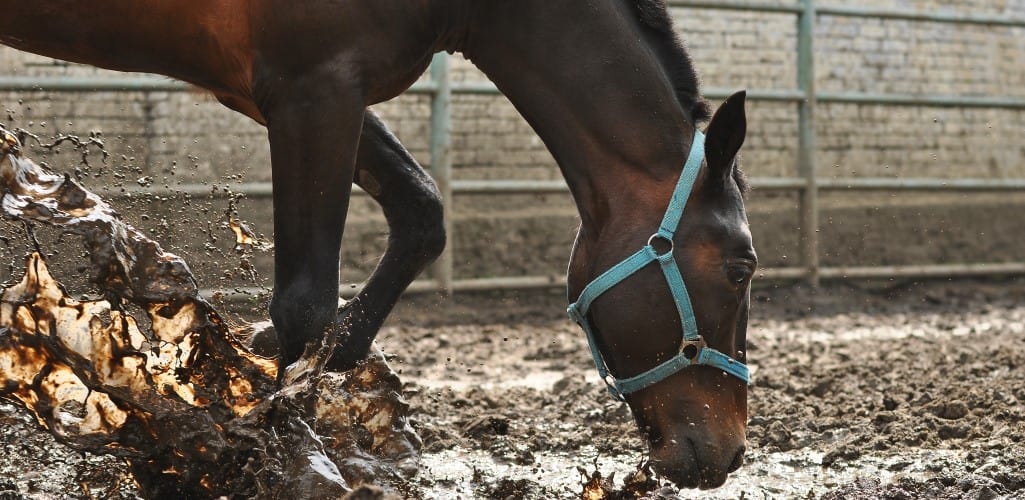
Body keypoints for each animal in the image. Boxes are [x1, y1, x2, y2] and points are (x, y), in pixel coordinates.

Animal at [0, 0, 756, 489]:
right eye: (741, 269)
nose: (727, 451)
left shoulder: (301, 91)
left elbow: (421, 212)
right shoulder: (313, 87)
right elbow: (304, 302)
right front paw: (290, 460)